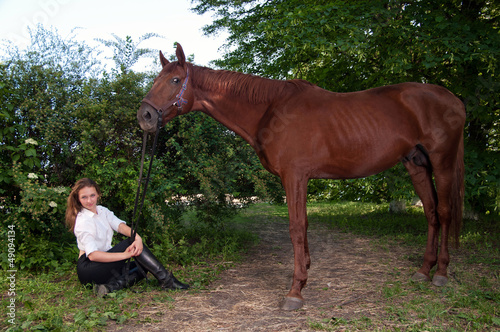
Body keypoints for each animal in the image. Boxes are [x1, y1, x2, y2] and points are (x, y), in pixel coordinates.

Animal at [137, 42, 464, 310]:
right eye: (156, 79)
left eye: (175, 80)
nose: (145, 116)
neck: (271, 110)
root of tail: (453, 99)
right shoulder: (300, 179)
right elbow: (303, 226)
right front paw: (304, 272)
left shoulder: (293, 176)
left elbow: (296, 227)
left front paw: (295, 291)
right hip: (416, 165)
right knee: (431, 213)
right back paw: (423, 271)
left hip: (442, 162)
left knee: (444, 212)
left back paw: (441, 273)